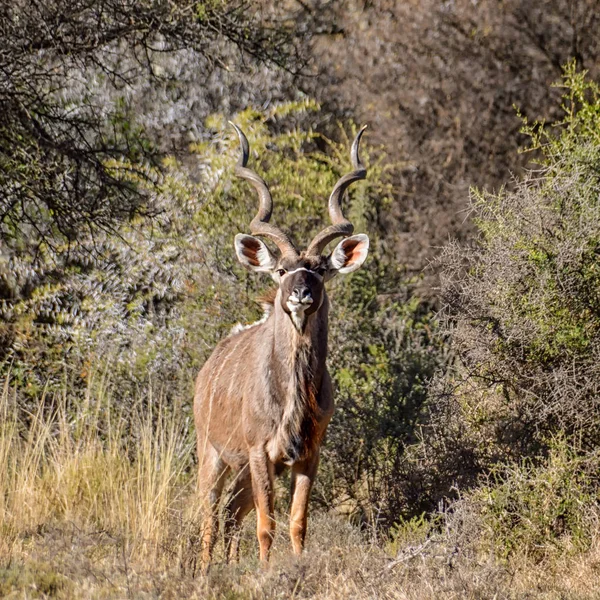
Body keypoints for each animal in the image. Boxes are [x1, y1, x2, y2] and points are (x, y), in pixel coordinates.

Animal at [193, 124, 370, 564]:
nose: (300, 293)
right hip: (212, 456)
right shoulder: (260, 451)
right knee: (209, 517)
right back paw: (204, 571)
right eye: (280, 270)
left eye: (321, 269)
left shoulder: (308, 453)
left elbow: (296, 522)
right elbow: (266, 525)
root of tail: (206, 369)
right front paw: (266, 571)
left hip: (242, 469)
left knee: (229, 516)